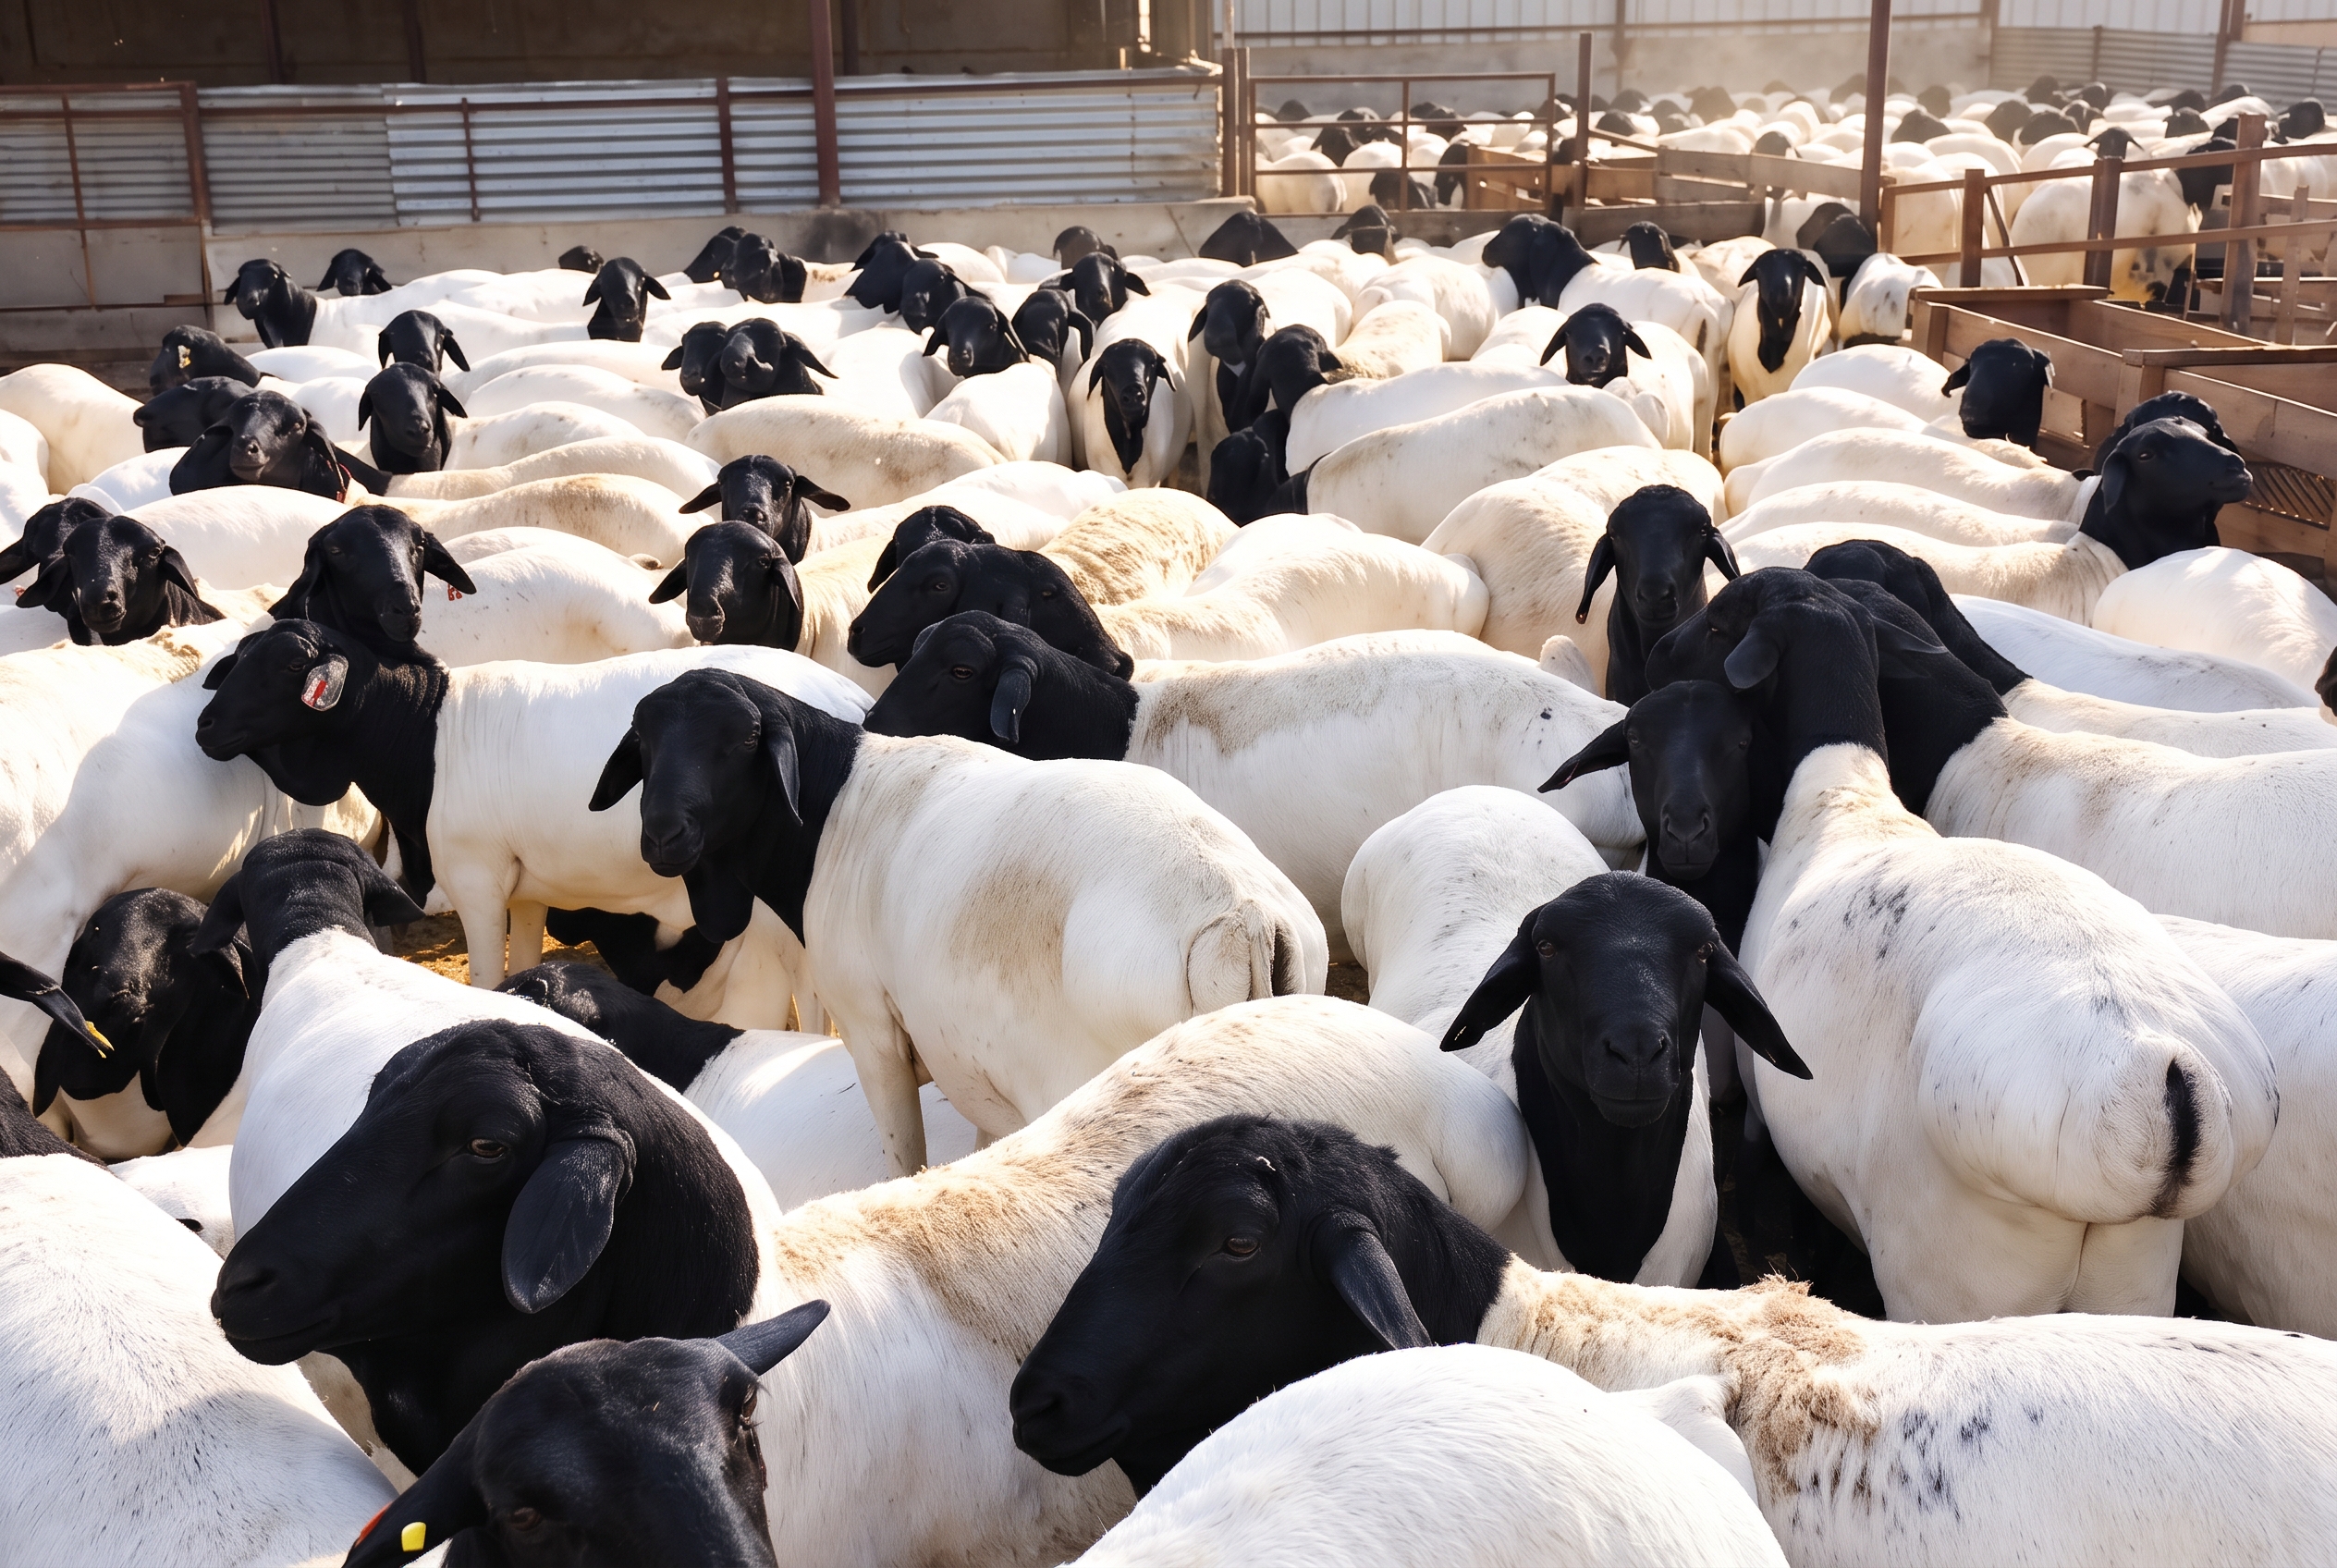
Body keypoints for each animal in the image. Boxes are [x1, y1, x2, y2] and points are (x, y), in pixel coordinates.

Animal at [193, 625, 868, 993]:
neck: (426, 733)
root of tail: (855, 700)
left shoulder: (477, 879)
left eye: (288, 664)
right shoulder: (525, 889)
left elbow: (489, 981)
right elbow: (521, 966)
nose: (205, 728)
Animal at [592, 669, 1328, 1172]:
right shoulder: (974, 1071)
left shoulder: (872, 1028)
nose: (662, 835)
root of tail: (1243, 916)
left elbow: (904, 1158)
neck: (836, 805)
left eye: (741, 741)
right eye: (644, 742)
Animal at [1651, 568, 2276, 1319]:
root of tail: (2161, 1081)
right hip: (2134, 1277)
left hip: (1956, 1273)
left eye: (1719, 625)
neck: (1841, 798)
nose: (1658, 651)